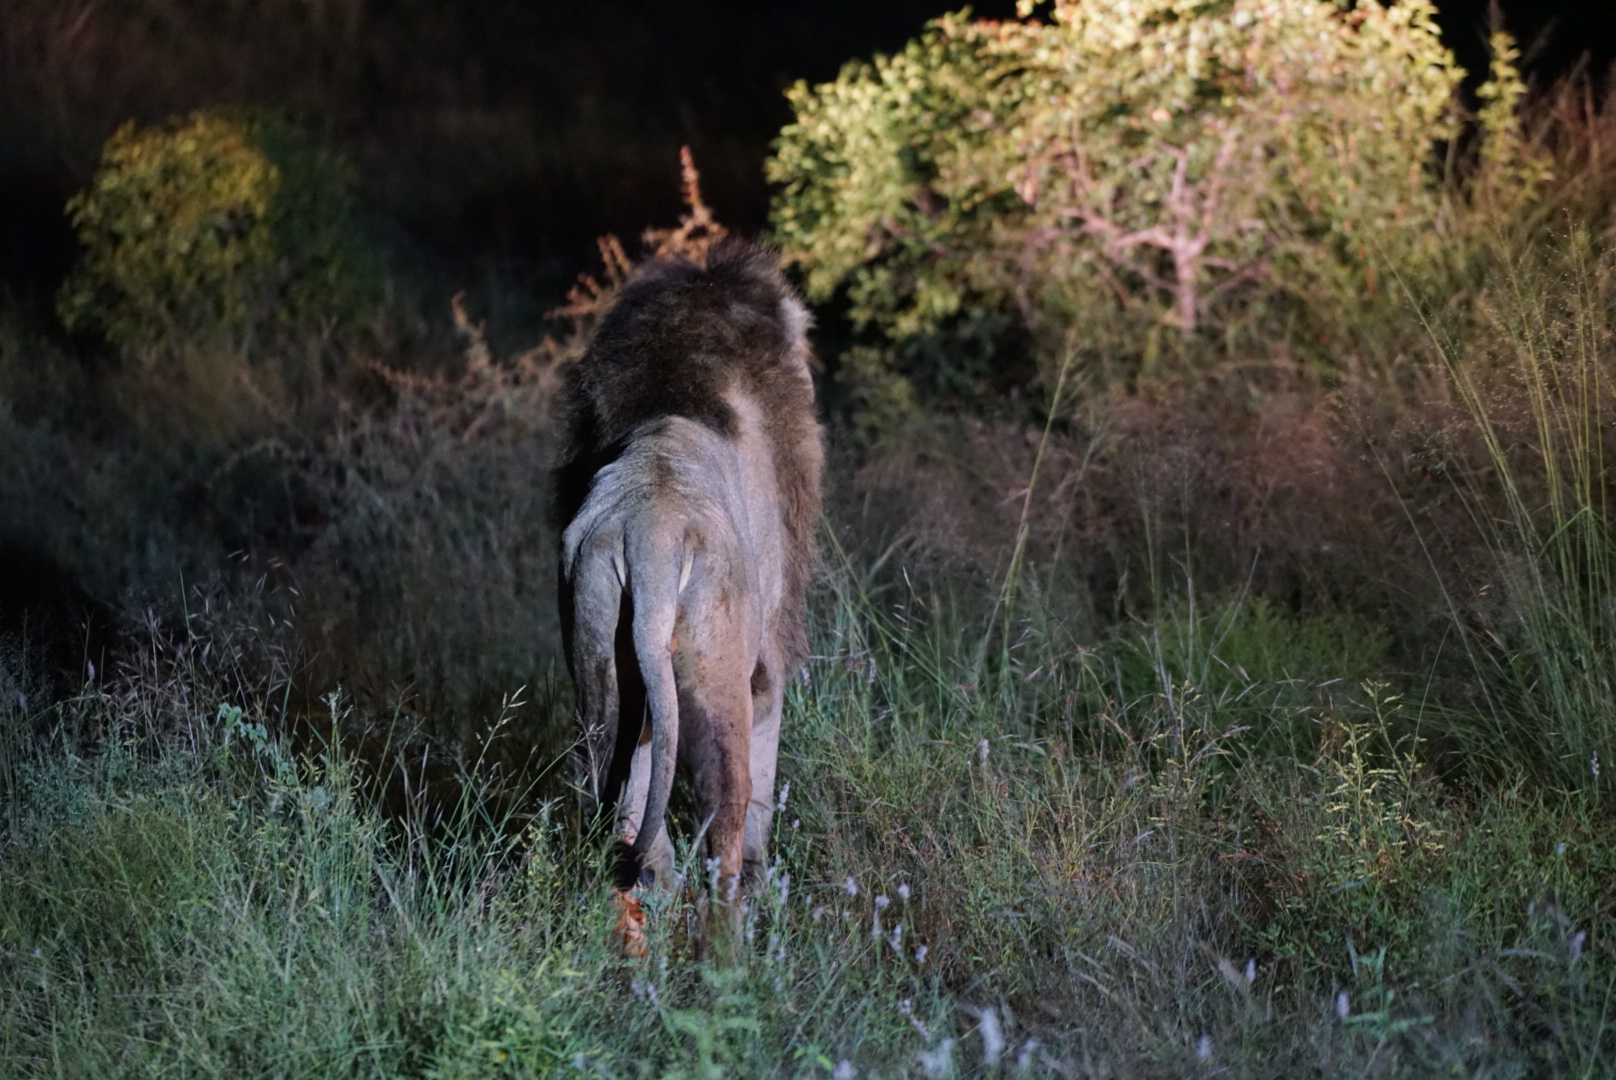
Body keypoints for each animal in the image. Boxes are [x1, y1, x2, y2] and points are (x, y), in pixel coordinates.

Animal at [562, 237, 827, 950]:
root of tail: (650, 537)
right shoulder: (769, 660)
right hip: (716, 671)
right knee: (724, 826)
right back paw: (731, 959)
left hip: (601, 664)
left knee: (625, 822)